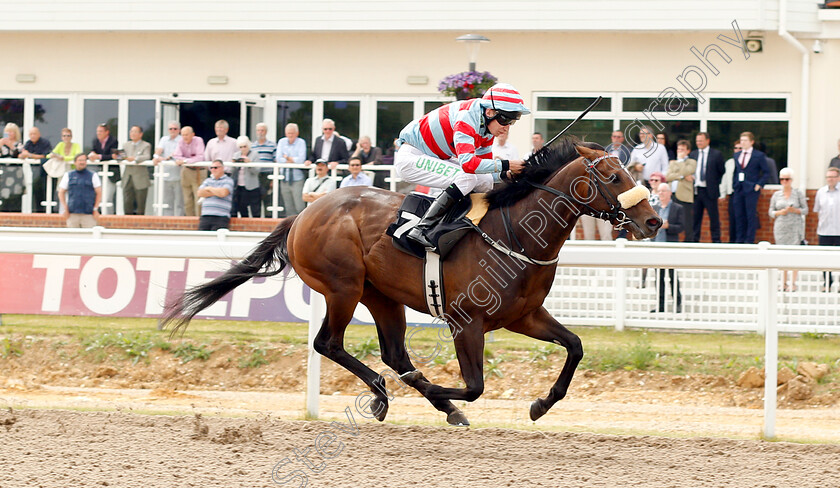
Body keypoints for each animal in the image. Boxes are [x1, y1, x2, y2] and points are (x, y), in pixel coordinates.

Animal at [162, 136, 664, 424]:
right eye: (613, 175)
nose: (654, 220)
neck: (514, 232)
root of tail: (304, 212)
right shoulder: (467, 322)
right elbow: (475, 386)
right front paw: (441, 389)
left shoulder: (524, 316)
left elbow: (575, 346)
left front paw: (541, 404)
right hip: (343, 287)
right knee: (329, 343)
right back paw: (391, 395)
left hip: (382, 295)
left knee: (392, 352)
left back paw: (424, 400)